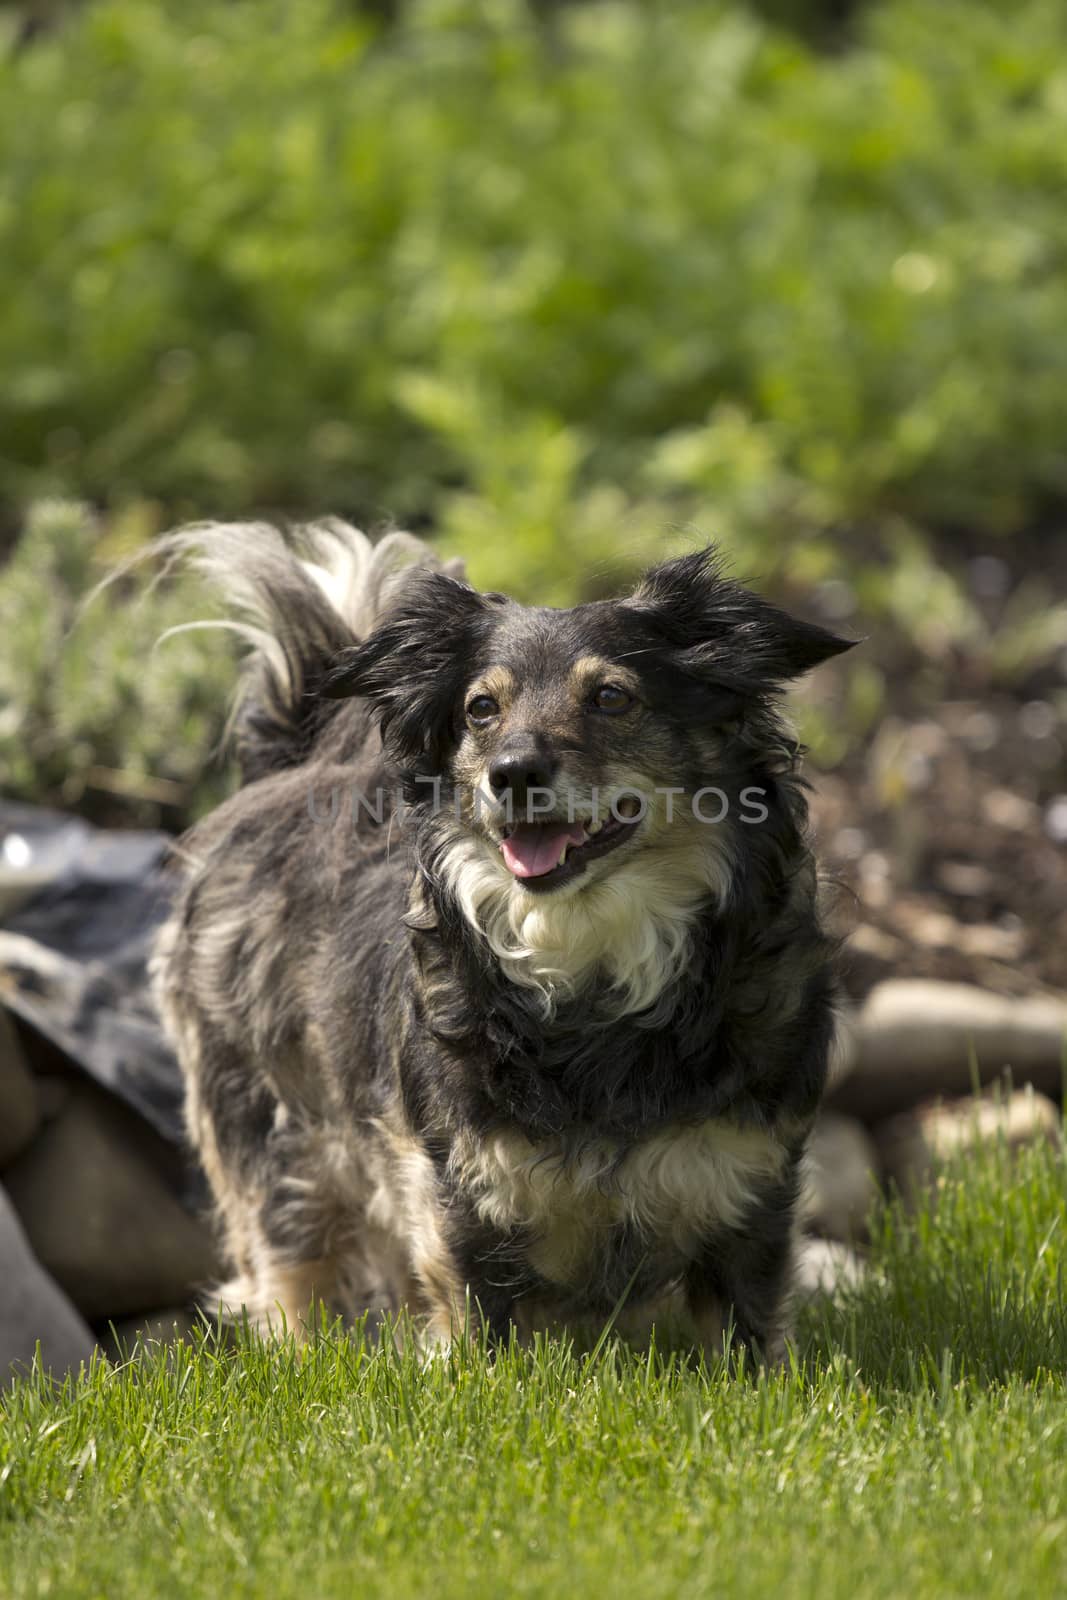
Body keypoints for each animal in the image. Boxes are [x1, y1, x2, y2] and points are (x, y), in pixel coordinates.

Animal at [154, 528, 857, 1363]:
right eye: (481, 709)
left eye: (611, 697)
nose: (512, 773)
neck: (590, 956)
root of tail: (291, 766)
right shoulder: (461, 1200)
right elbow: (477, 1344)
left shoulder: (747, 1190)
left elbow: (749, 1342)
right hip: (274, 1140)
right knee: (293, 1275)